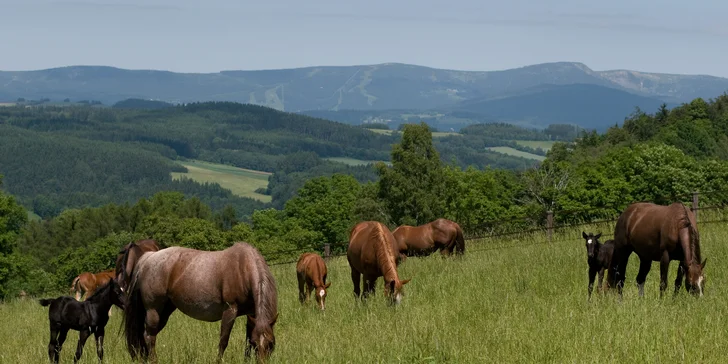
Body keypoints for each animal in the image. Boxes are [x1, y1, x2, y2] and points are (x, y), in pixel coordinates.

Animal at [119, 240, 278, 362]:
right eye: (257, 344)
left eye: (271, 344)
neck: (242, 269)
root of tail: (147, 258)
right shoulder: (230, 310)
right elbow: (223, 341)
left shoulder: (252, 314)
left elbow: (247, 340)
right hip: (153, 310)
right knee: (149, 336)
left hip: (165, 310)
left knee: (145, 336)